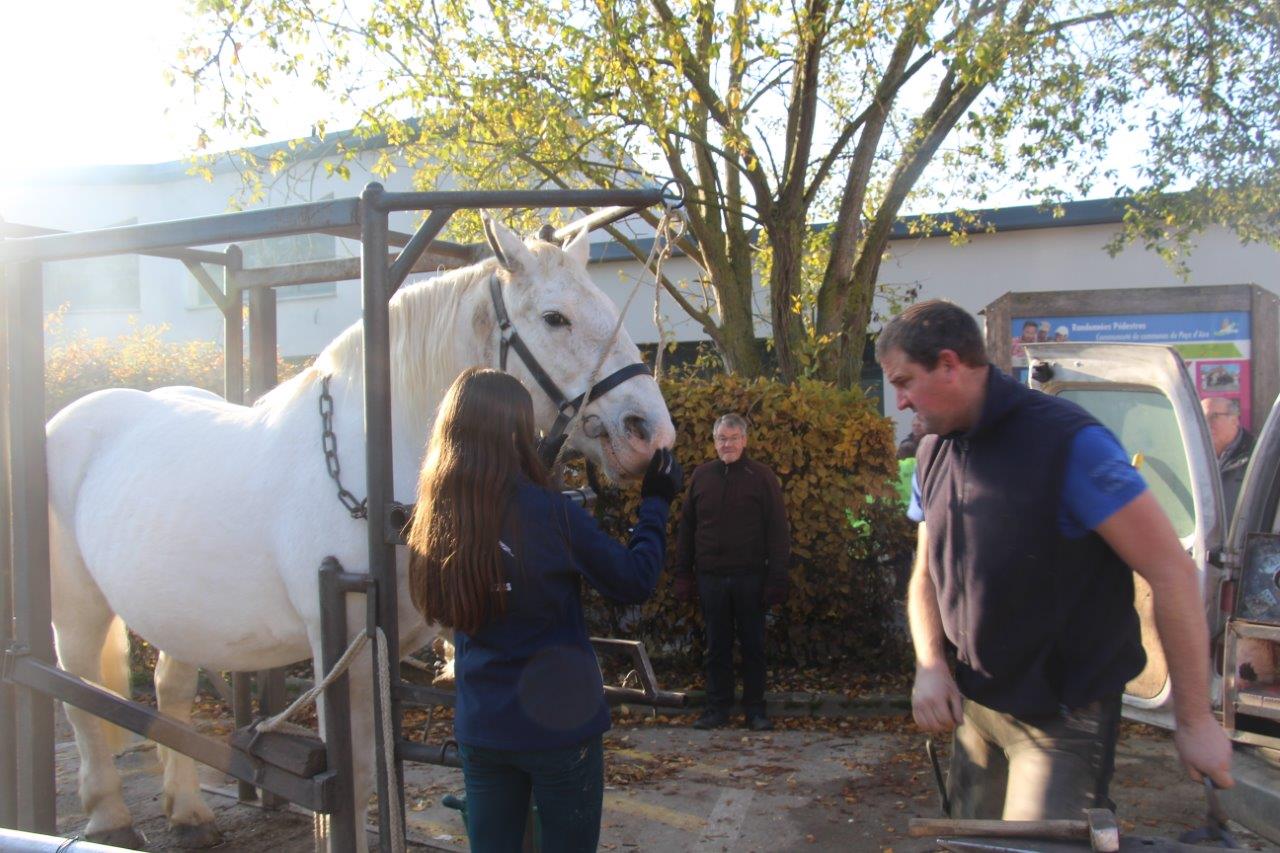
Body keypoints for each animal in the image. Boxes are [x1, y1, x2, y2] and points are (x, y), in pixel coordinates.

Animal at [45, 217, 675, 845]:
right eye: (554, 318)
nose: (651, 433)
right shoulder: (341, 645)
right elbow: (355, 777)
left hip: (181, 614)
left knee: (170, 692)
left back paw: (187, 809)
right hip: (76, 609)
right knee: (78, 697)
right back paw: (109, 815)